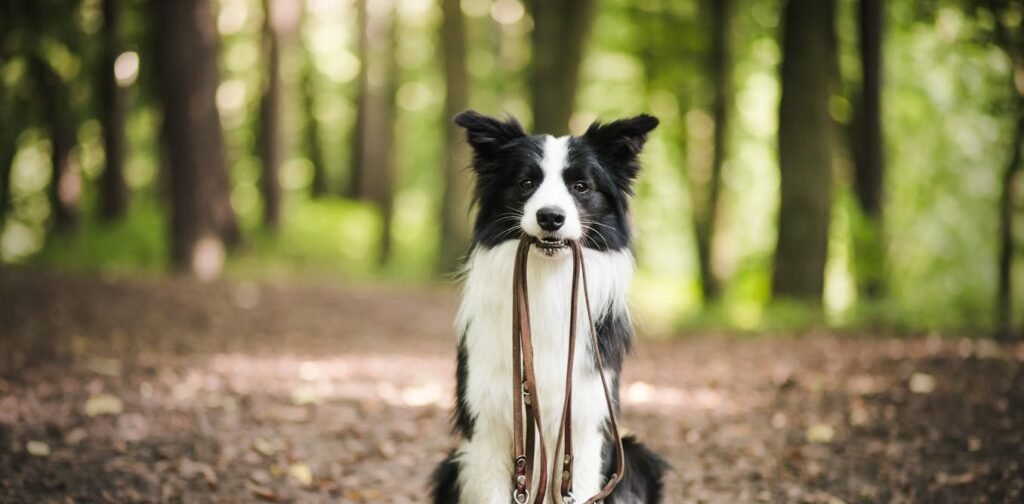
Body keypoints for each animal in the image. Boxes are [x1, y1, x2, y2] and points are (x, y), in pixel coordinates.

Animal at [430, 111, 663, 504]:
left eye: (581, 186)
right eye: (526, 183)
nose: (550, 217)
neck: (547, 282)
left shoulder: (585, 423)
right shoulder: (488, 426)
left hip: (634, 456)